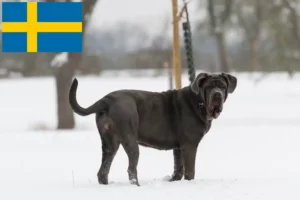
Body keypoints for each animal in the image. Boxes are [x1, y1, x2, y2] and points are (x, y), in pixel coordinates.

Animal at [68, 72, 237, 186]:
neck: (199, 102)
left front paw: (174, 181)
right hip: (129, 139)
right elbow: (190, 170)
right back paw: (137, 186)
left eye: (222, 86)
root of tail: (106, 100)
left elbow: (178, 168)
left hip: (109, 143)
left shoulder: (178, 147)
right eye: (209, 87)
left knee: (103, 170)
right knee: (131, 168)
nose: (217, 95)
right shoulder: (189, 145)